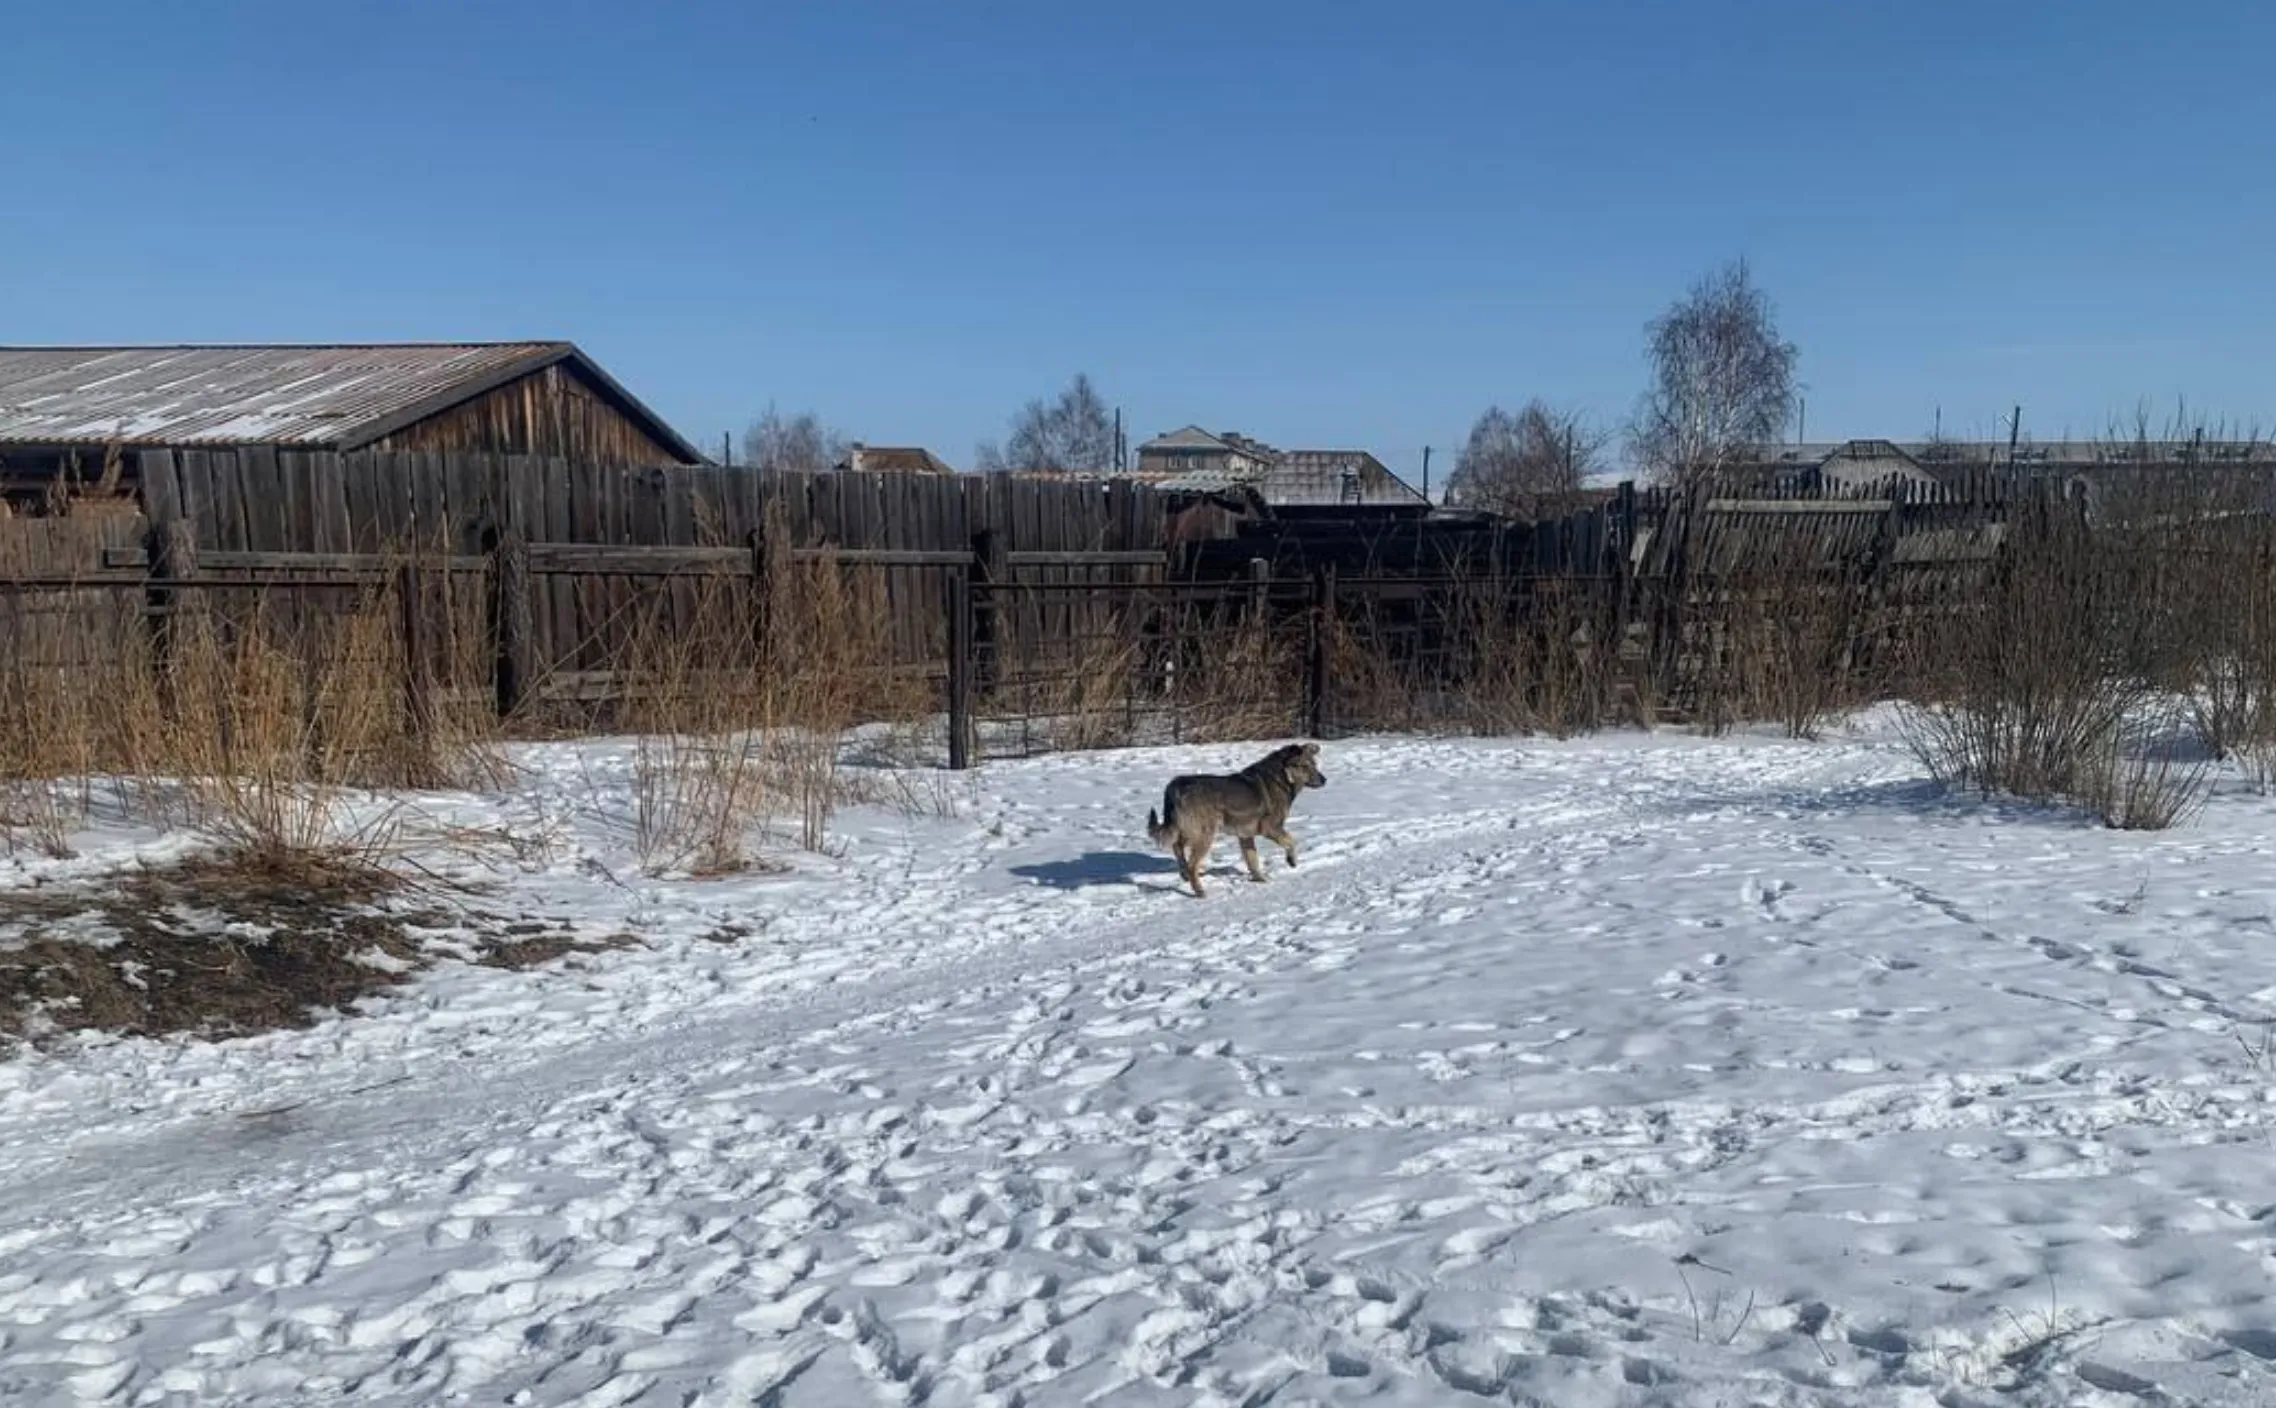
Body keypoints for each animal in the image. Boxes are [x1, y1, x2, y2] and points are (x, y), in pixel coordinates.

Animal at [1147, 741, 1329, 896]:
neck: (1282, 777)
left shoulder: (1246, 836)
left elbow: (1252, 861)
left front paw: (1260, 880)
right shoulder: (1270, 828)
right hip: (1204, 834)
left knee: (1177, 848)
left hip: (1187, 830)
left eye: (1315, 764)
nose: (1324, 780)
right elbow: (1291, 841)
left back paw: (1184, 874)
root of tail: (1174, 787)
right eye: (1305, 766)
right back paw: (1199, 891)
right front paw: (1291, 860)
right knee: (1191, 863)